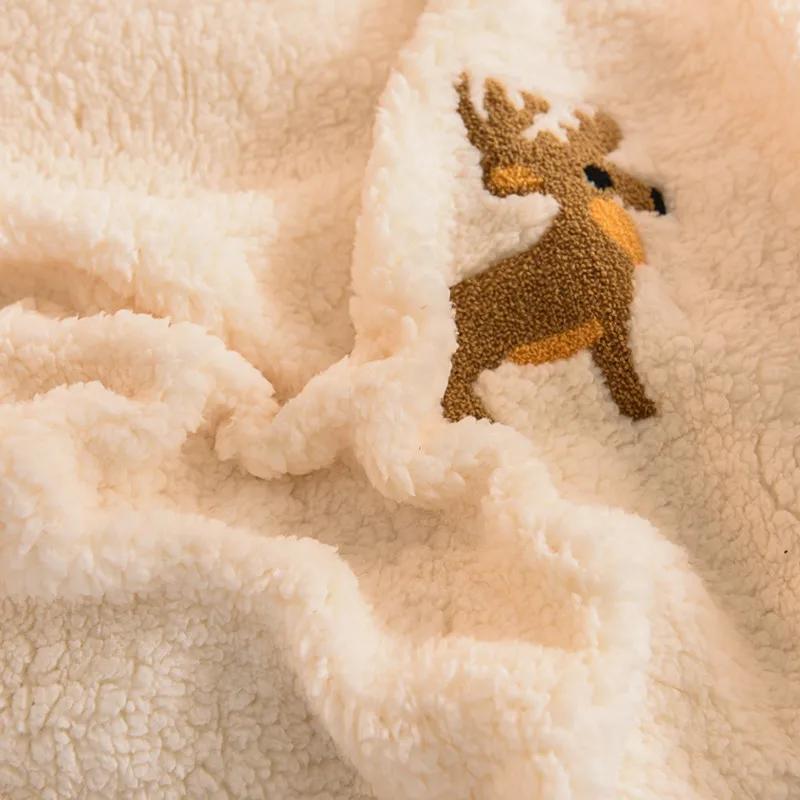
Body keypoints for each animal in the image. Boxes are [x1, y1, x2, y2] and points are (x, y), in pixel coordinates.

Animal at [442, 74, 667, 424]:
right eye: (597, 175)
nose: (657, 197)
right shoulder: (611, 318)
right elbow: (624, 379)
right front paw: (643, 410)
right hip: (468, 355)